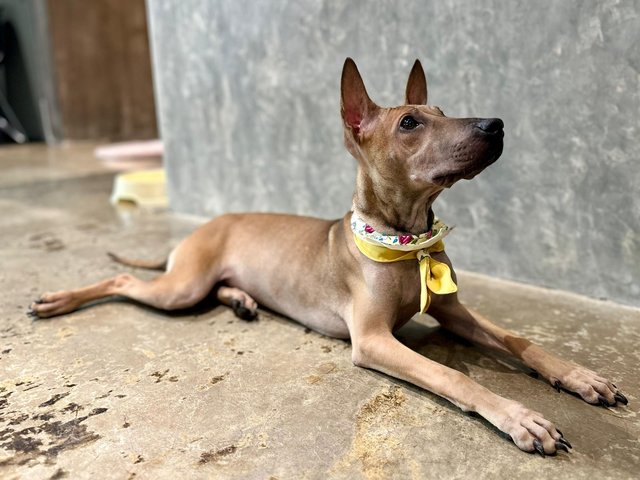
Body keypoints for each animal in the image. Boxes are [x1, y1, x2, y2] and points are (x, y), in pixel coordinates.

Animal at [30, 59, 624, 454]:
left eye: (441, 110)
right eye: (410, 123)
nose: (495, 125)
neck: (405, 241)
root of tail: (207, 224)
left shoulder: (454, 311)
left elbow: (521, 340)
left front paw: (579, 377)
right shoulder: (373, 340)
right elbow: (454, 377)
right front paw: (520, 417)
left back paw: (242, 299)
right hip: (180, 287)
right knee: (119, 282)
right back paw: (57, 300)